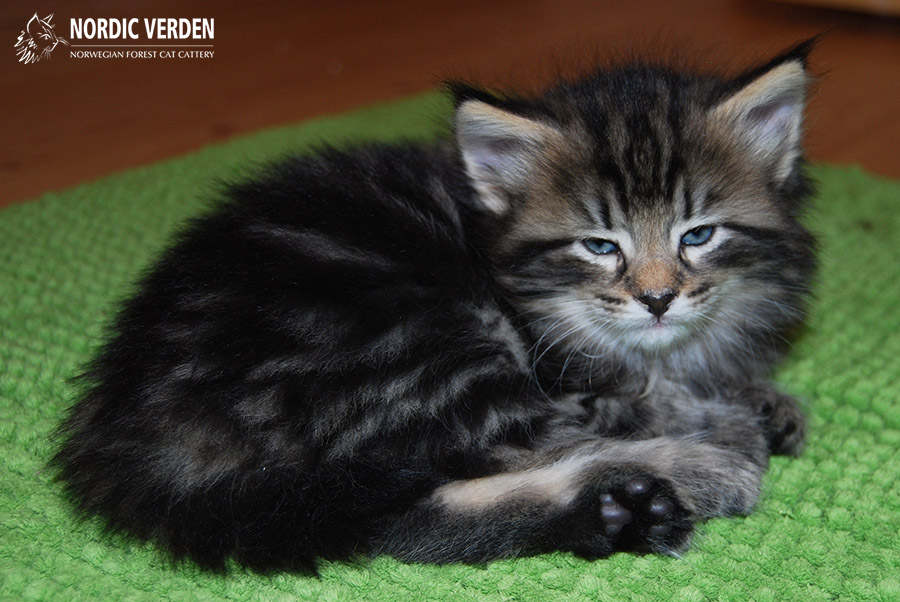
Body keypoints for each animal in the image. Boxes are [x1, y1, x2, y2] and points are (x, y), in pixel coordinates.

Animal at [53, 40, 817, 573]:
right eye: (600, 245)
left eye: (699, 235)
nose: (657, 299)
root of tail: (127, 442)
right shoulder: (556, 371)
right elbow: (635, 403)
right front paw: (728, 417)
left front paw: (761, 397)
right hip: (413, 343)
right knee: (450, 488)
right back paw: (698, 472)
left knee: (398, 517)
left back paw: (633, 506)